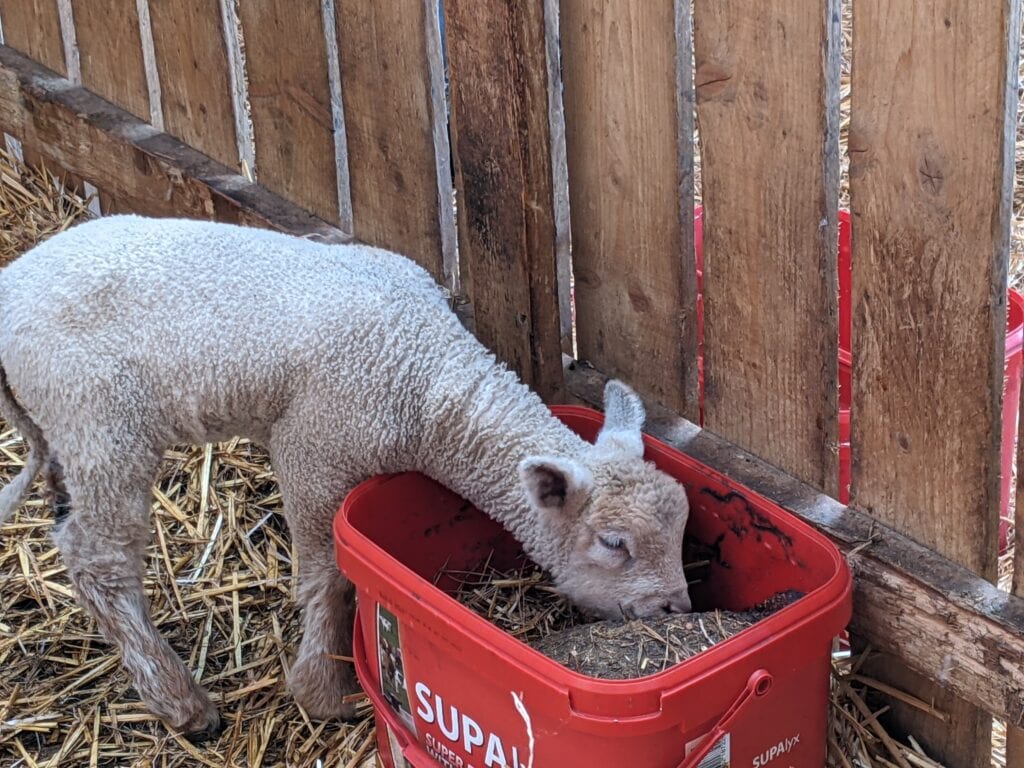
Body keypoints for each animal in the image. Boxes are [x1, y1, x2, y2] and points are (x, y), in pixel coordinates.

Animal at [0, 215, 692, 741]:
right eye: (614, 544)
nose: (677, 609)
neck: (428, 379)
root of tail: (10, 288)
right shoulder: (316, 449)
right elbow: (326, 577)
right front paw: (324, 692)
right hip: (99, 422)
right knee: (99, 560)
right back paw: (181, 701)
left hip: (63, 432)